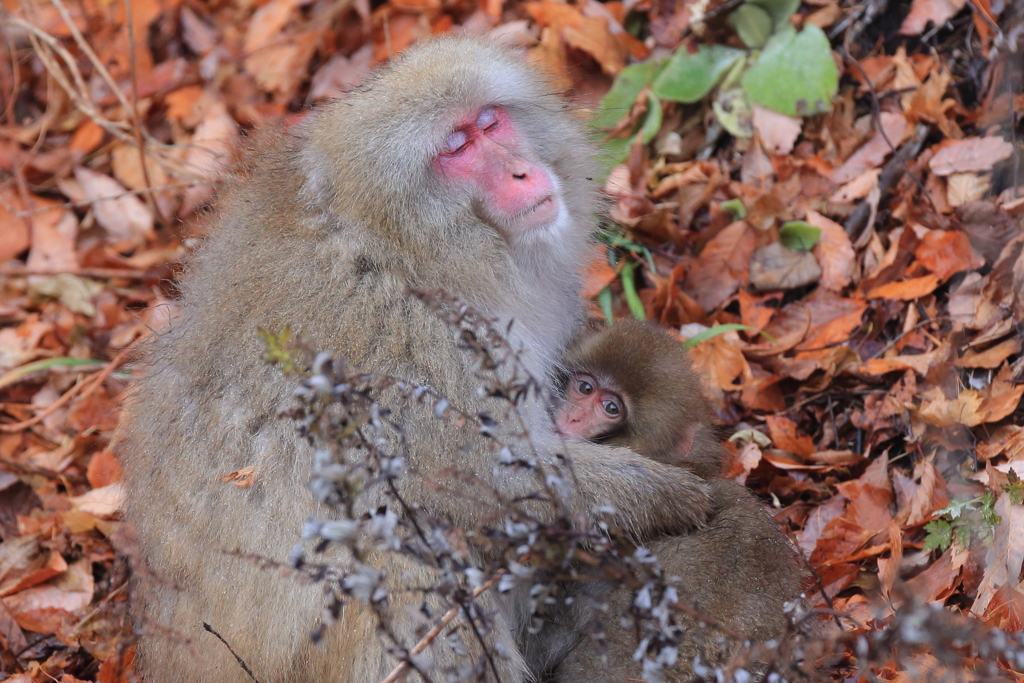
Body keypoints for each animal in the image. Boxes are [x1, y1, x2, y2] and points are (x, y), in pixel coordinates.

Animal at [119, 38, 712, 683]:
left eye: (488, 122)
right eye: (456, 147)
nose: (522, 171)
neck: (407, 249)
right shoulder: (422, 335)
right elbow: (491, 480)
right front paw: (676, 495)